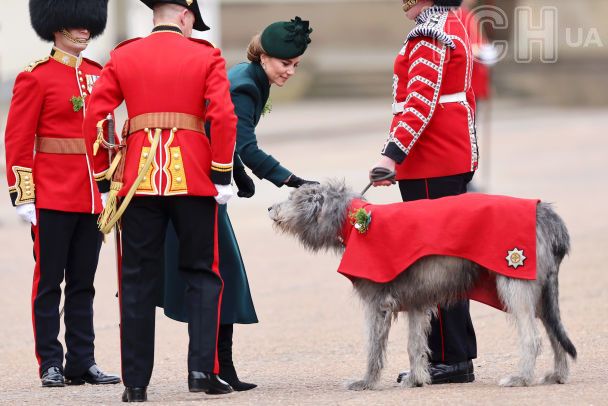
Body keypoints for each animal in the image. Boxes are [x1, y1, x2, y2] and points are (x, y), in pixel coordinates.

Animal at [268, 180, 576, 390]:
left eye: (293, 197)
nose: (269, 207)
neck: (357, 221)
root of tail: (546, 213)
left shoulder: (378, 302)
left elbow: (373, 346)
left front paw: (366, 382)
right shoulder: (416, 301)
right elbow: (414, 343)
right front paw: (416, 379)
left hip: (516, 281)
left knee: (532, 337)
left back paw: (521, 377)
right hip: (541, 291)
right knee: (553, 330)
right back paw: (557, 375)